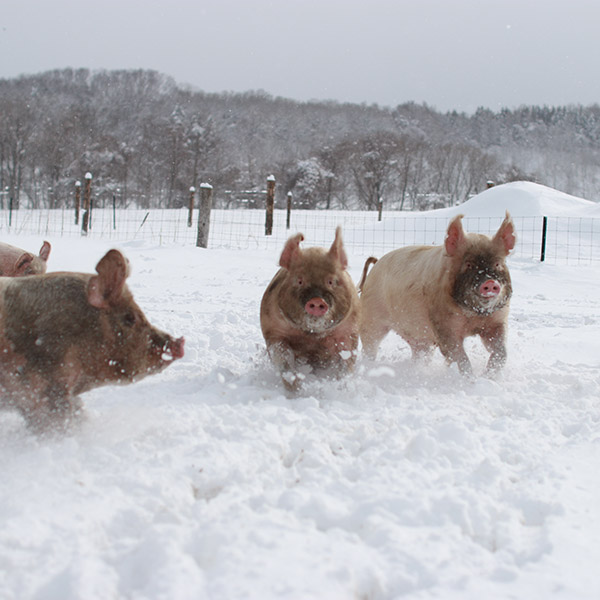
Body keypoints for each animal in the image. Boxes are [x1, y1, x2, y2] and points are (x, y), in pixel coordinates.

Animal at [258, 225, 360, 390]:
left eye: (331, 281)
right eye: (300, 281)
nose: (317, 300)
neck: (313, 335)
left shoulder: (349, 331)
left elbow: (347, 361)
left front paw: (340, 387)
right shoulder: (273, 331)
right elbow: (283, 359)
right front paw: (296, 389)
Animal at [356, 212, 516, 376]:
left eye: (497, 264)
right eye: (469, 264)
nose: (490, 282)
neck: (474, 315)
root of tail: (376, 263)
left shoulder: (497, 321)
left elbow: (500, 351)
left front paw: (489, 376)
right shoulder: (443, 324)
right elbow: (459, 356)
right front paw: (470, 379)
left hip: (421, 339)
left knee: (419, 353)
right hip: (371, 319)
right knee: (370, 345)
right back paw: (369, 365)